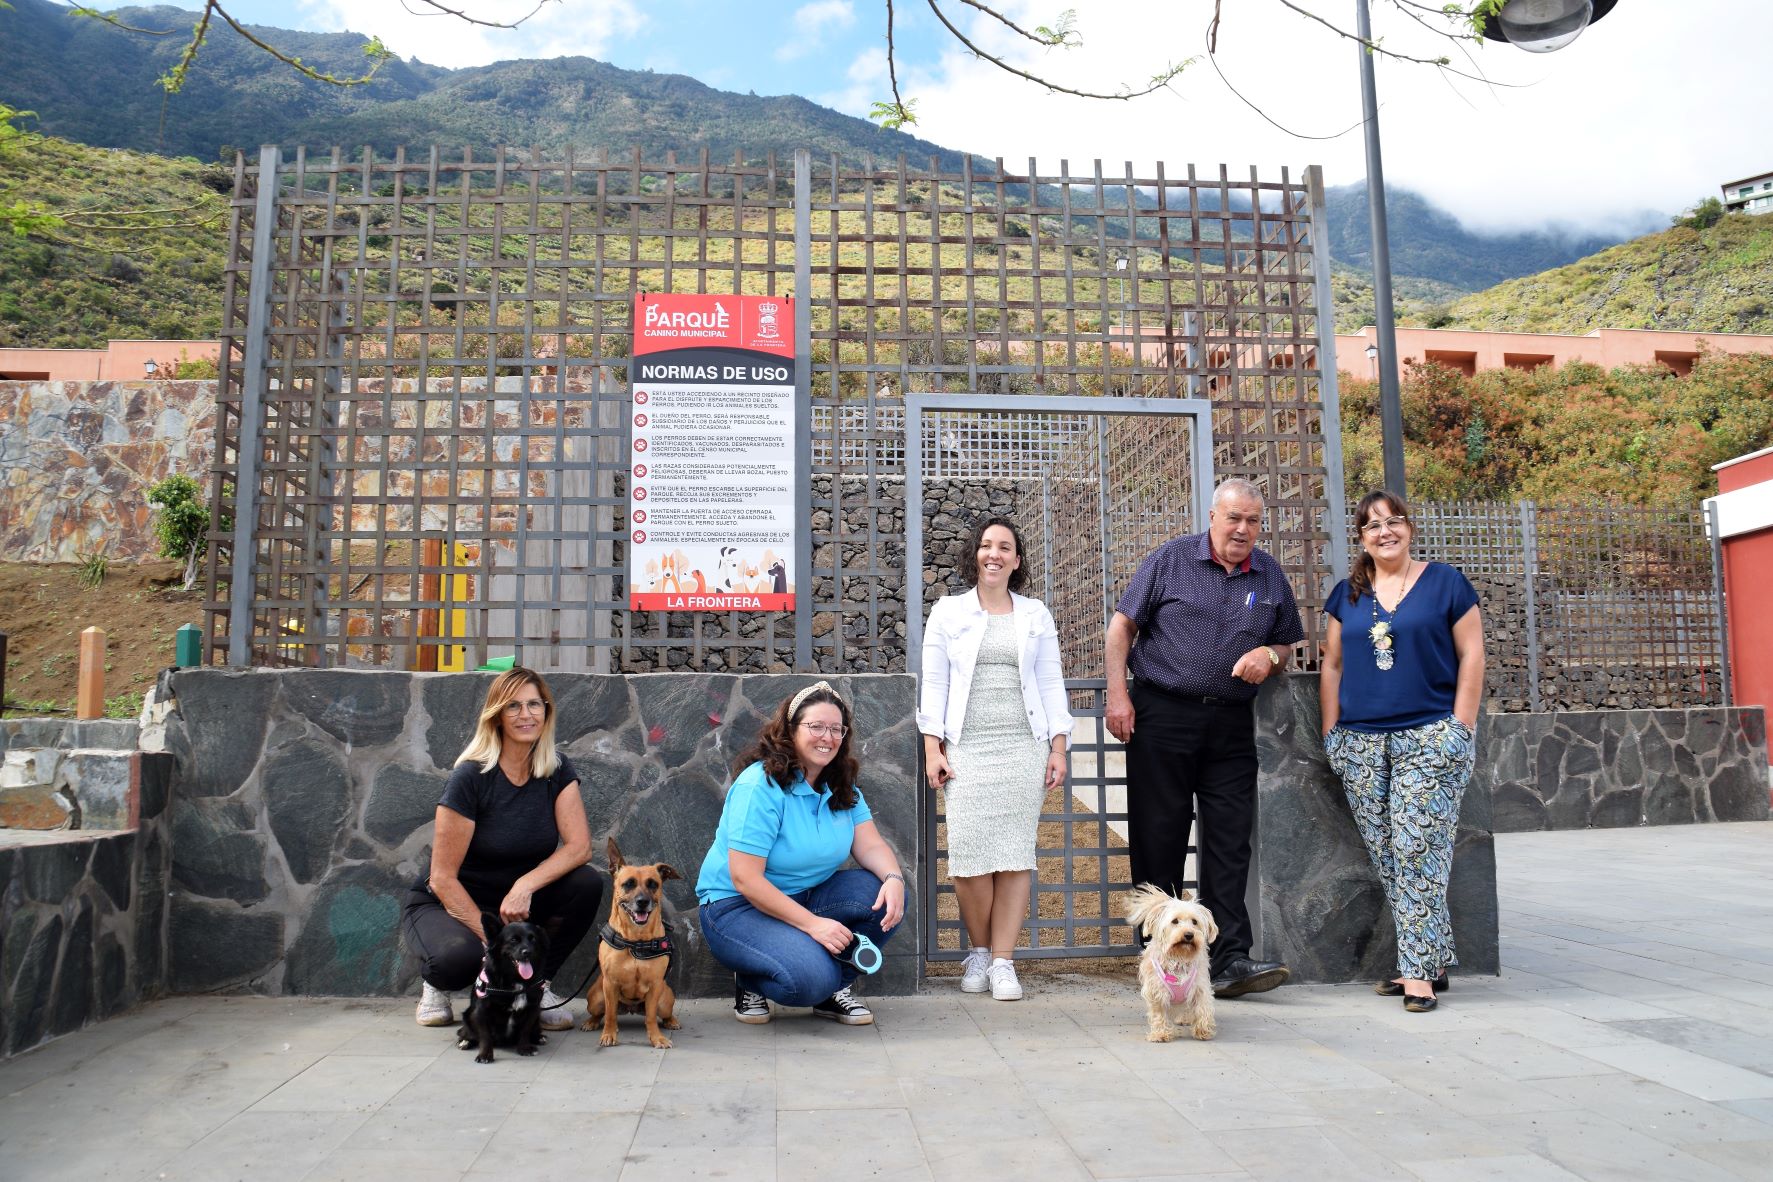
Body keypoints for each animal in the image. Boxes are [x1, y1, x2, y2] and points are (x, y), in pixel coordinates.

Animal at [453, 914, 549, 1070]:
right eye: (513, 940)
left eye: (533, 939)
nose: (527, 952)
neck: (516, 979)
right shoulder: (481, 1011)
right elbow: (485, 1036)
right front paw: (485, 1055)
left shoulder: (533, 1008)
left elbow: (526, 1029)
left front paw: (524, 1048)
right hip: (469, 1015)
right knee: (467, 1032)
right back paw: (465, 1041)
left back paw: (538, 1037)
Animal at [588, 836, 684, 1049]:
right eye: (628, 884)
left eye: (653, 884)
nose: (642, 902)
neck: (635, 941)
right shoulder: (610, 985)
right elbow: (610, 1015)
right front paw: (608, 1034)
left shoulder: (655, 986)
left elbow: (650, 1017)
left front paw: (656, 1038)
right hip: (595, 998)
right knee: (601, 1013)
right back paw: (591, 1022)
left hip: (665, 1000)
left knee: (663, 1014)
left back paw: (672, 1021)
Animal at [1127, 882, 1212, 1042]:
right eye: (1175, 921)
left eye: (1195, 922)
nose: (1189, 934)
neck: (1179, 957)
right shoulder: (1156, 990)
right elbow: (1159, 1014)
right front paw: (1160, 1034)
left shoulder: (1200, 987)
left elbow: (1202, 1008)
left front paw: (1202, 1030)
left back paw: (1185, 1019)